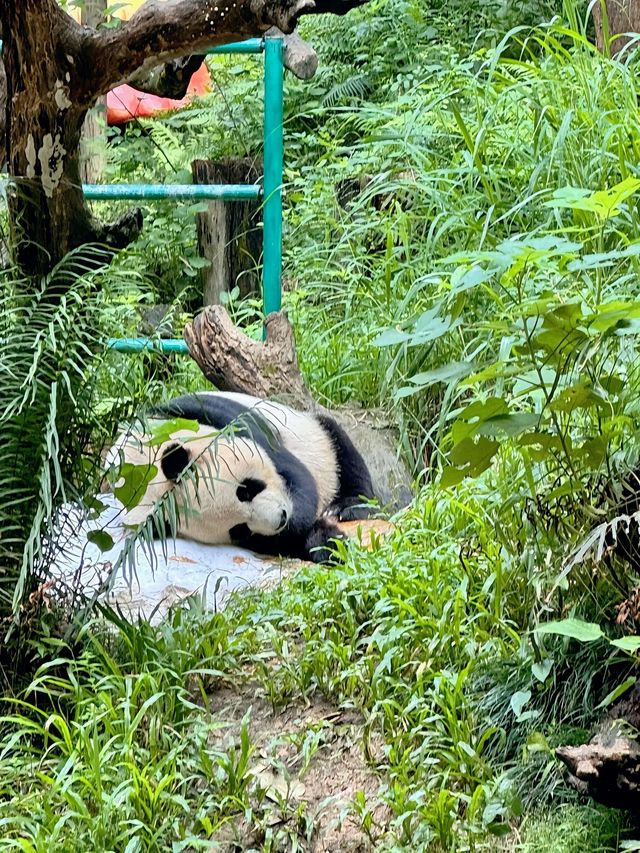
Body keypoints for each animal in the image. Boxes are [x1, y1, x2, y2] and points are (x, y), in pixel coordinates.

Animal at [104, 392, 376, 564]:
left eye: (247, 489)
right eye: (239, 530)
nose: (281, 518)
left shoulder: (213, 414)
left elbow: (300, 479)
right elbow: (276, 542)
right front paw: (324, 543)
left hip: (317, 436)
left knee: (342, 450)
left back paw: (347, 506)